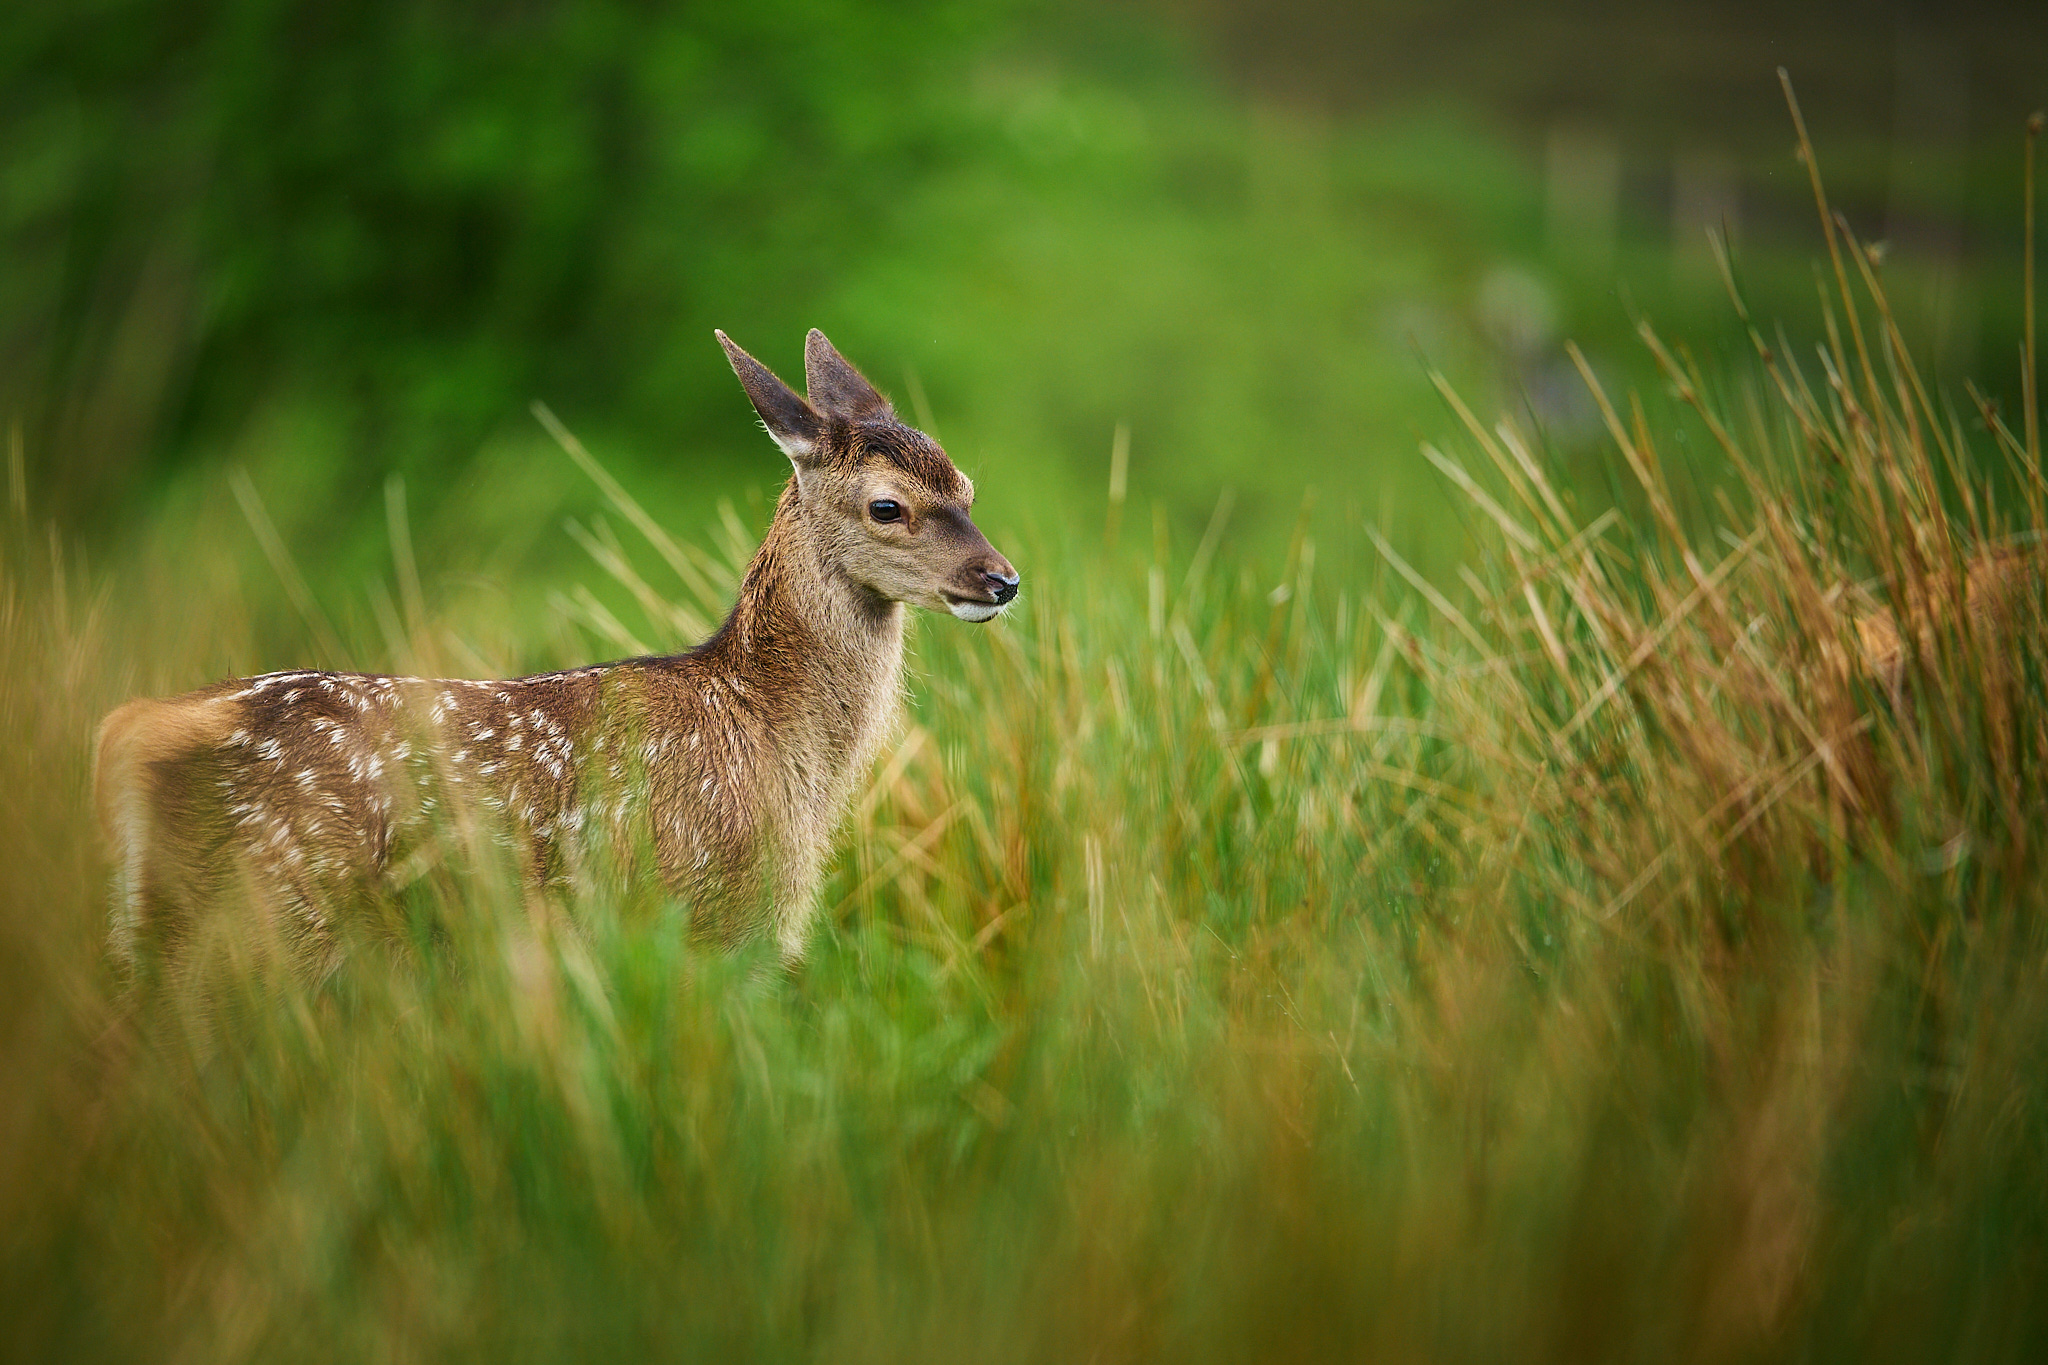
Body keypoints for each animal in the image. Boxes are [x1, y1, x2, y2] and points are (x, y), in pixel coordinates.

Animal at [94, 329, 1020, 976]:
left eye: (969, 488)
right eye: (887, 506)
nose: (1001, 578)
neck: (767, 733)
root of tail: (128, 730)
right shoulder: (705, 914)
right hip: (273, 909)